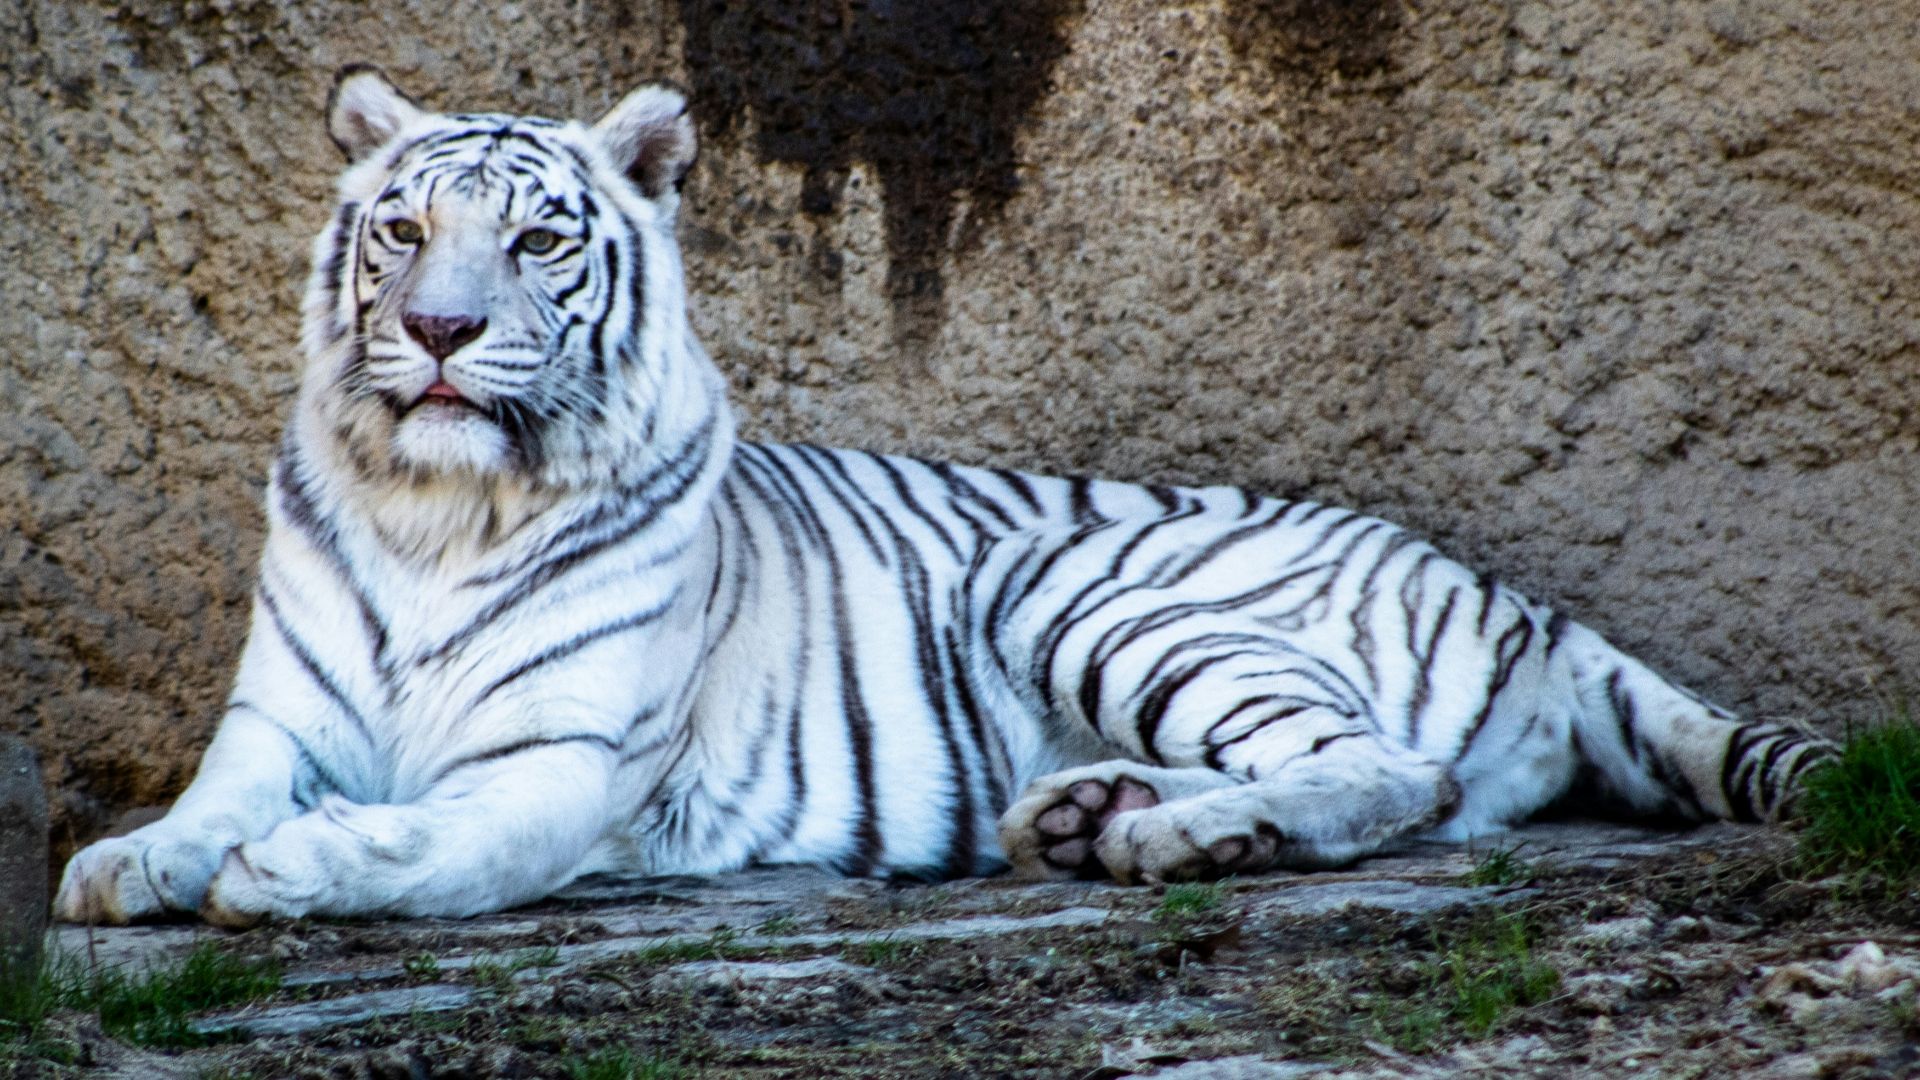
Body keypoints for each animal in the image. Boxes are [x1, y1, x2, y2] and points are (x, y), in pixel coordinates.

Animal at [54, 67, 1828, 926]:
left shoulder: (562, 758)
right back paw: (1097, 815)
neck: (438, 508)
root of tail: (1520, 600)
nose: (435, 332)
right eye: (406, 230)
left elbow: (442, 848)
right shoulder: (277, 721)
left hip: (1076, 583)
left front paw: (294, 873)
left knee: (1395, 773)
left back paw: (1183, 838)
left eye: (541, 239)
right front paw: (130, 866)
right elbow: (209, 800)